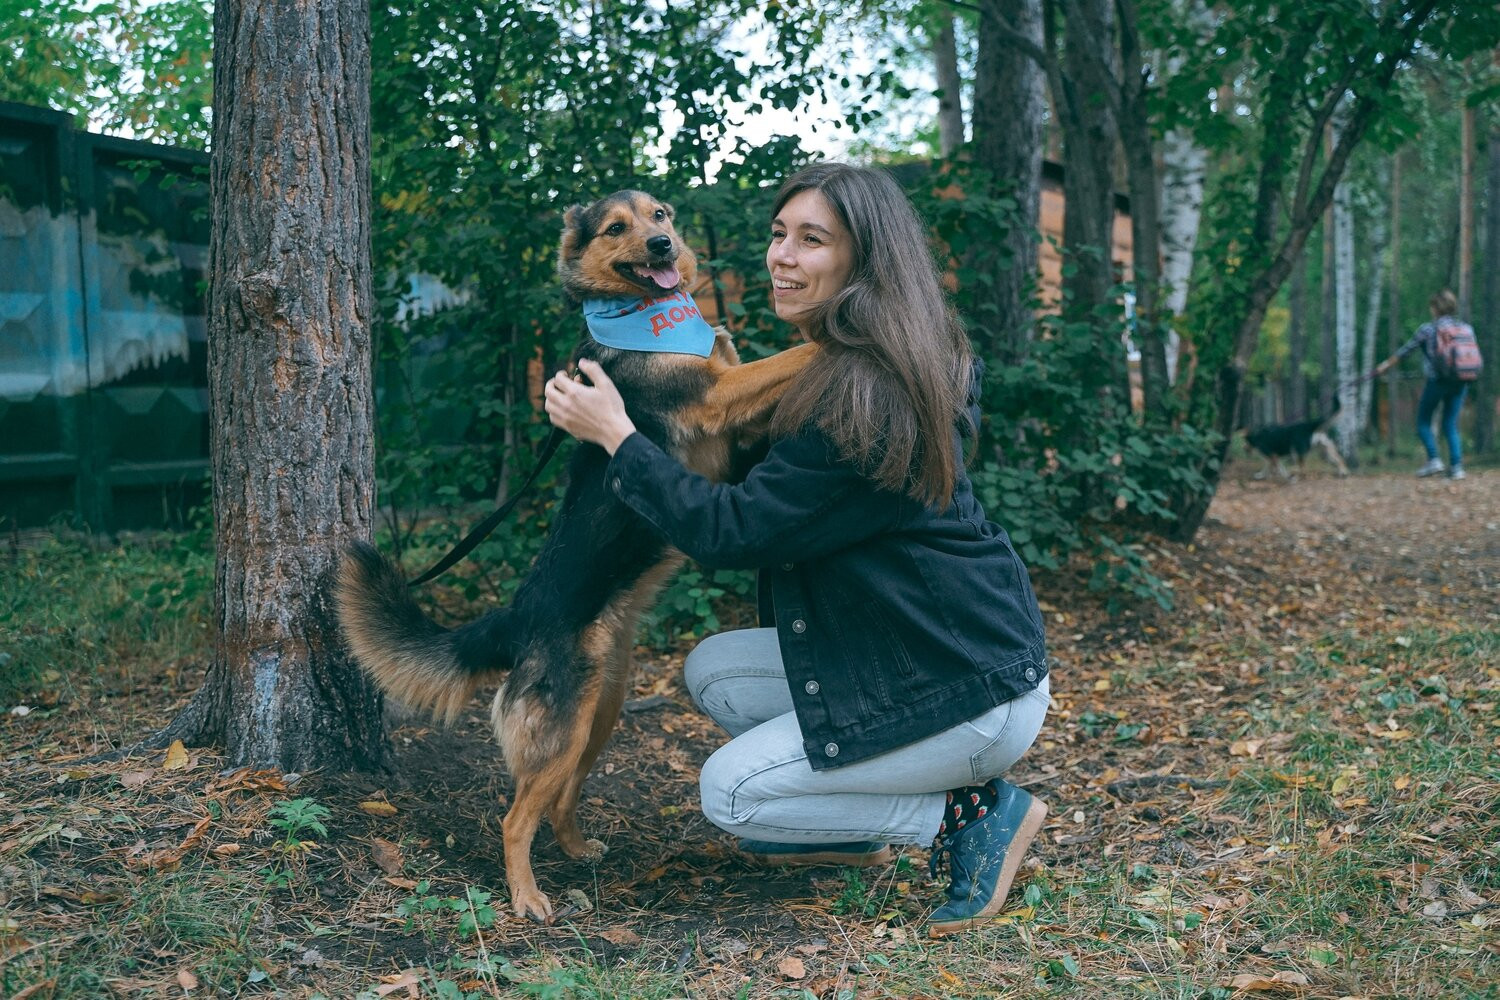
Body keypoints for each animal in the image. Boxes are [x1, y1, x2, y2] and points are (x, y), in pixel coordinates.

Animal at [336, 191, 816, 929]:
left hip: (601, 712)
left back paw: (576, 847)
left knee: (558, 796)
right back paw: (528, 896)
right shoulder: (715, 396)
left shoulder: (733, 423)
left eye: (660, 214)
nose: (661, 246)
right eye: (617, 227)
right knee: (514, 818)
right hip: (566, 726)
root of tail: (513, 617)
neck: (641, 316)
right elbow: (789, 356)